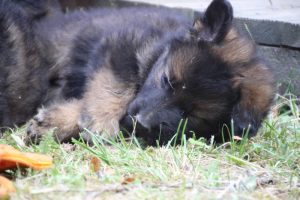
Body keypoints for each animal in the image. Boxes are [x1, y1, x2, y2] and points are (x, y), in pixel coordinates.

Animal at [3, 0, 276, 144]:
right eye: (166, 80)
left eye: (192, 115)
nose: (141, 123)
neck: (159, 48)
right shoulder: (119, 47)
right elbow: (114, 87)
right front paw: (99, 121)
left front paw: (57, 122)